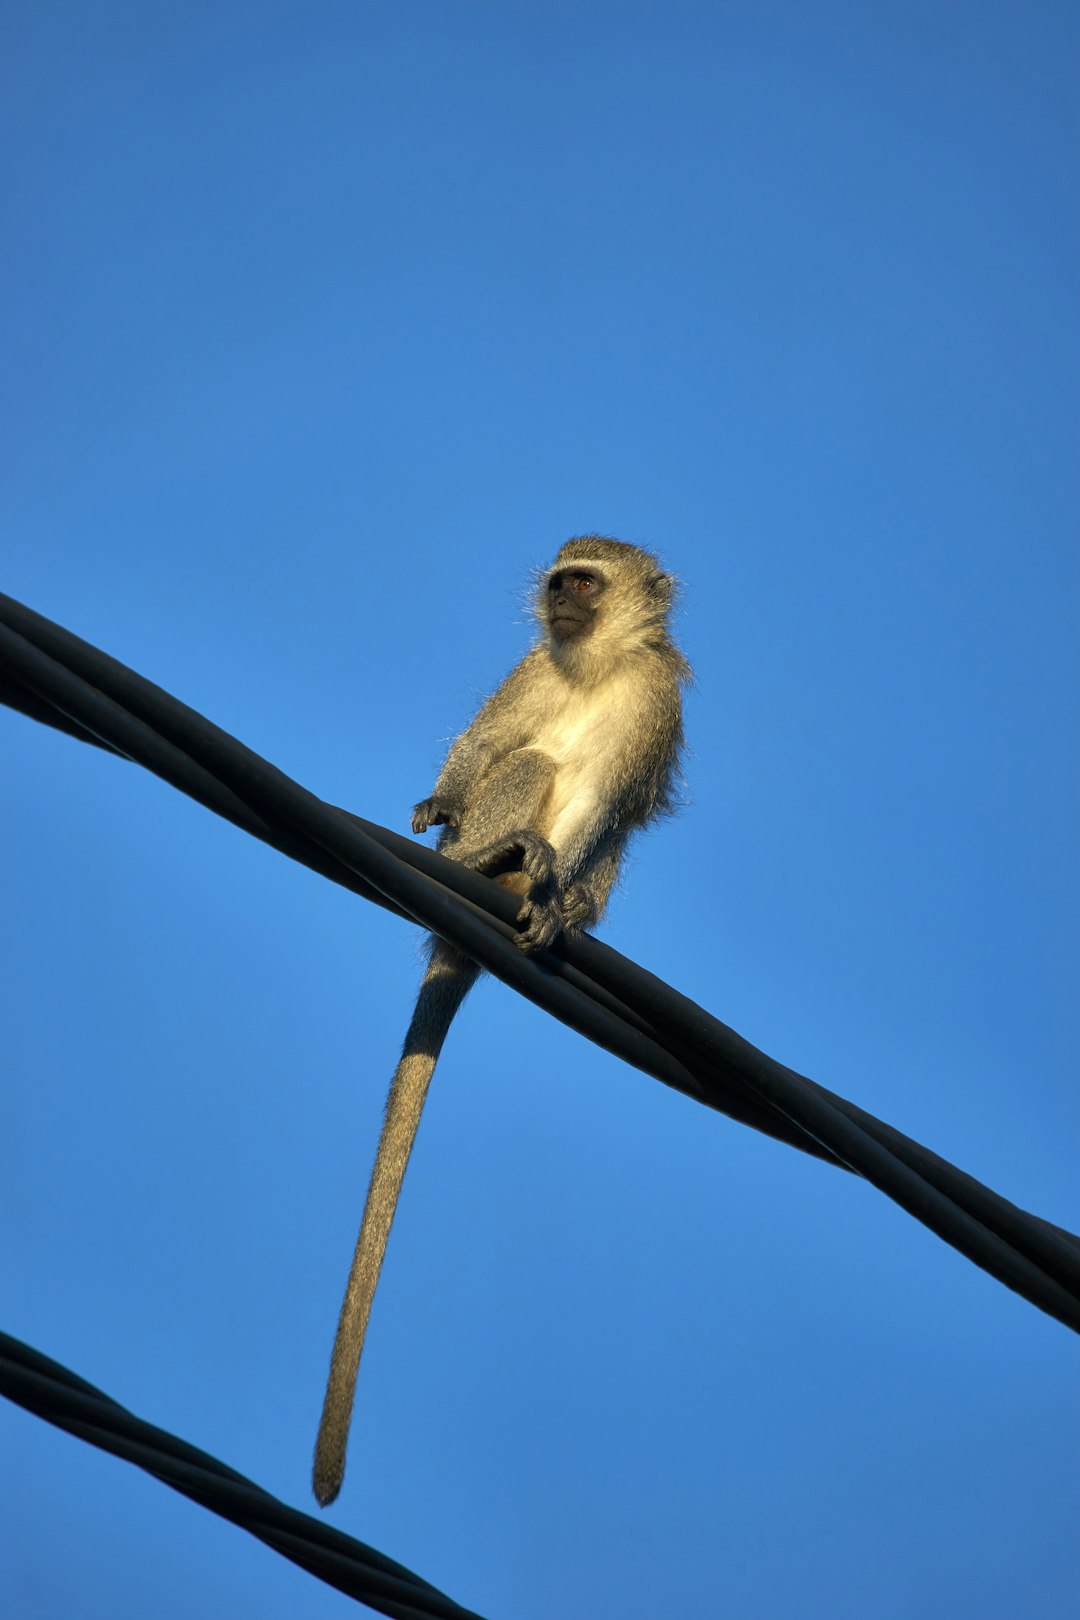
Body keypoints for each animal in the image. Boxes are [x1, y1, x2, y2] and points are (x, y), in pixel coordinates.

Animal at [310, 534, 693, 1503]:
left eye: (586, 583)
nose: (559, 604)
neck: (596, 665)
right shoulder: (534, 668)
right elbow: (483, 743)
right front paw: (437, 800)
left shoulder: (656, 702)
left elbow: (608, 804)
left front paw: (561, 892)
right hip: (475, 838)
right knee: (527, 766)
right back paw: (489, 857)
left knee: (587, 828)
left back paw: (552, 899)